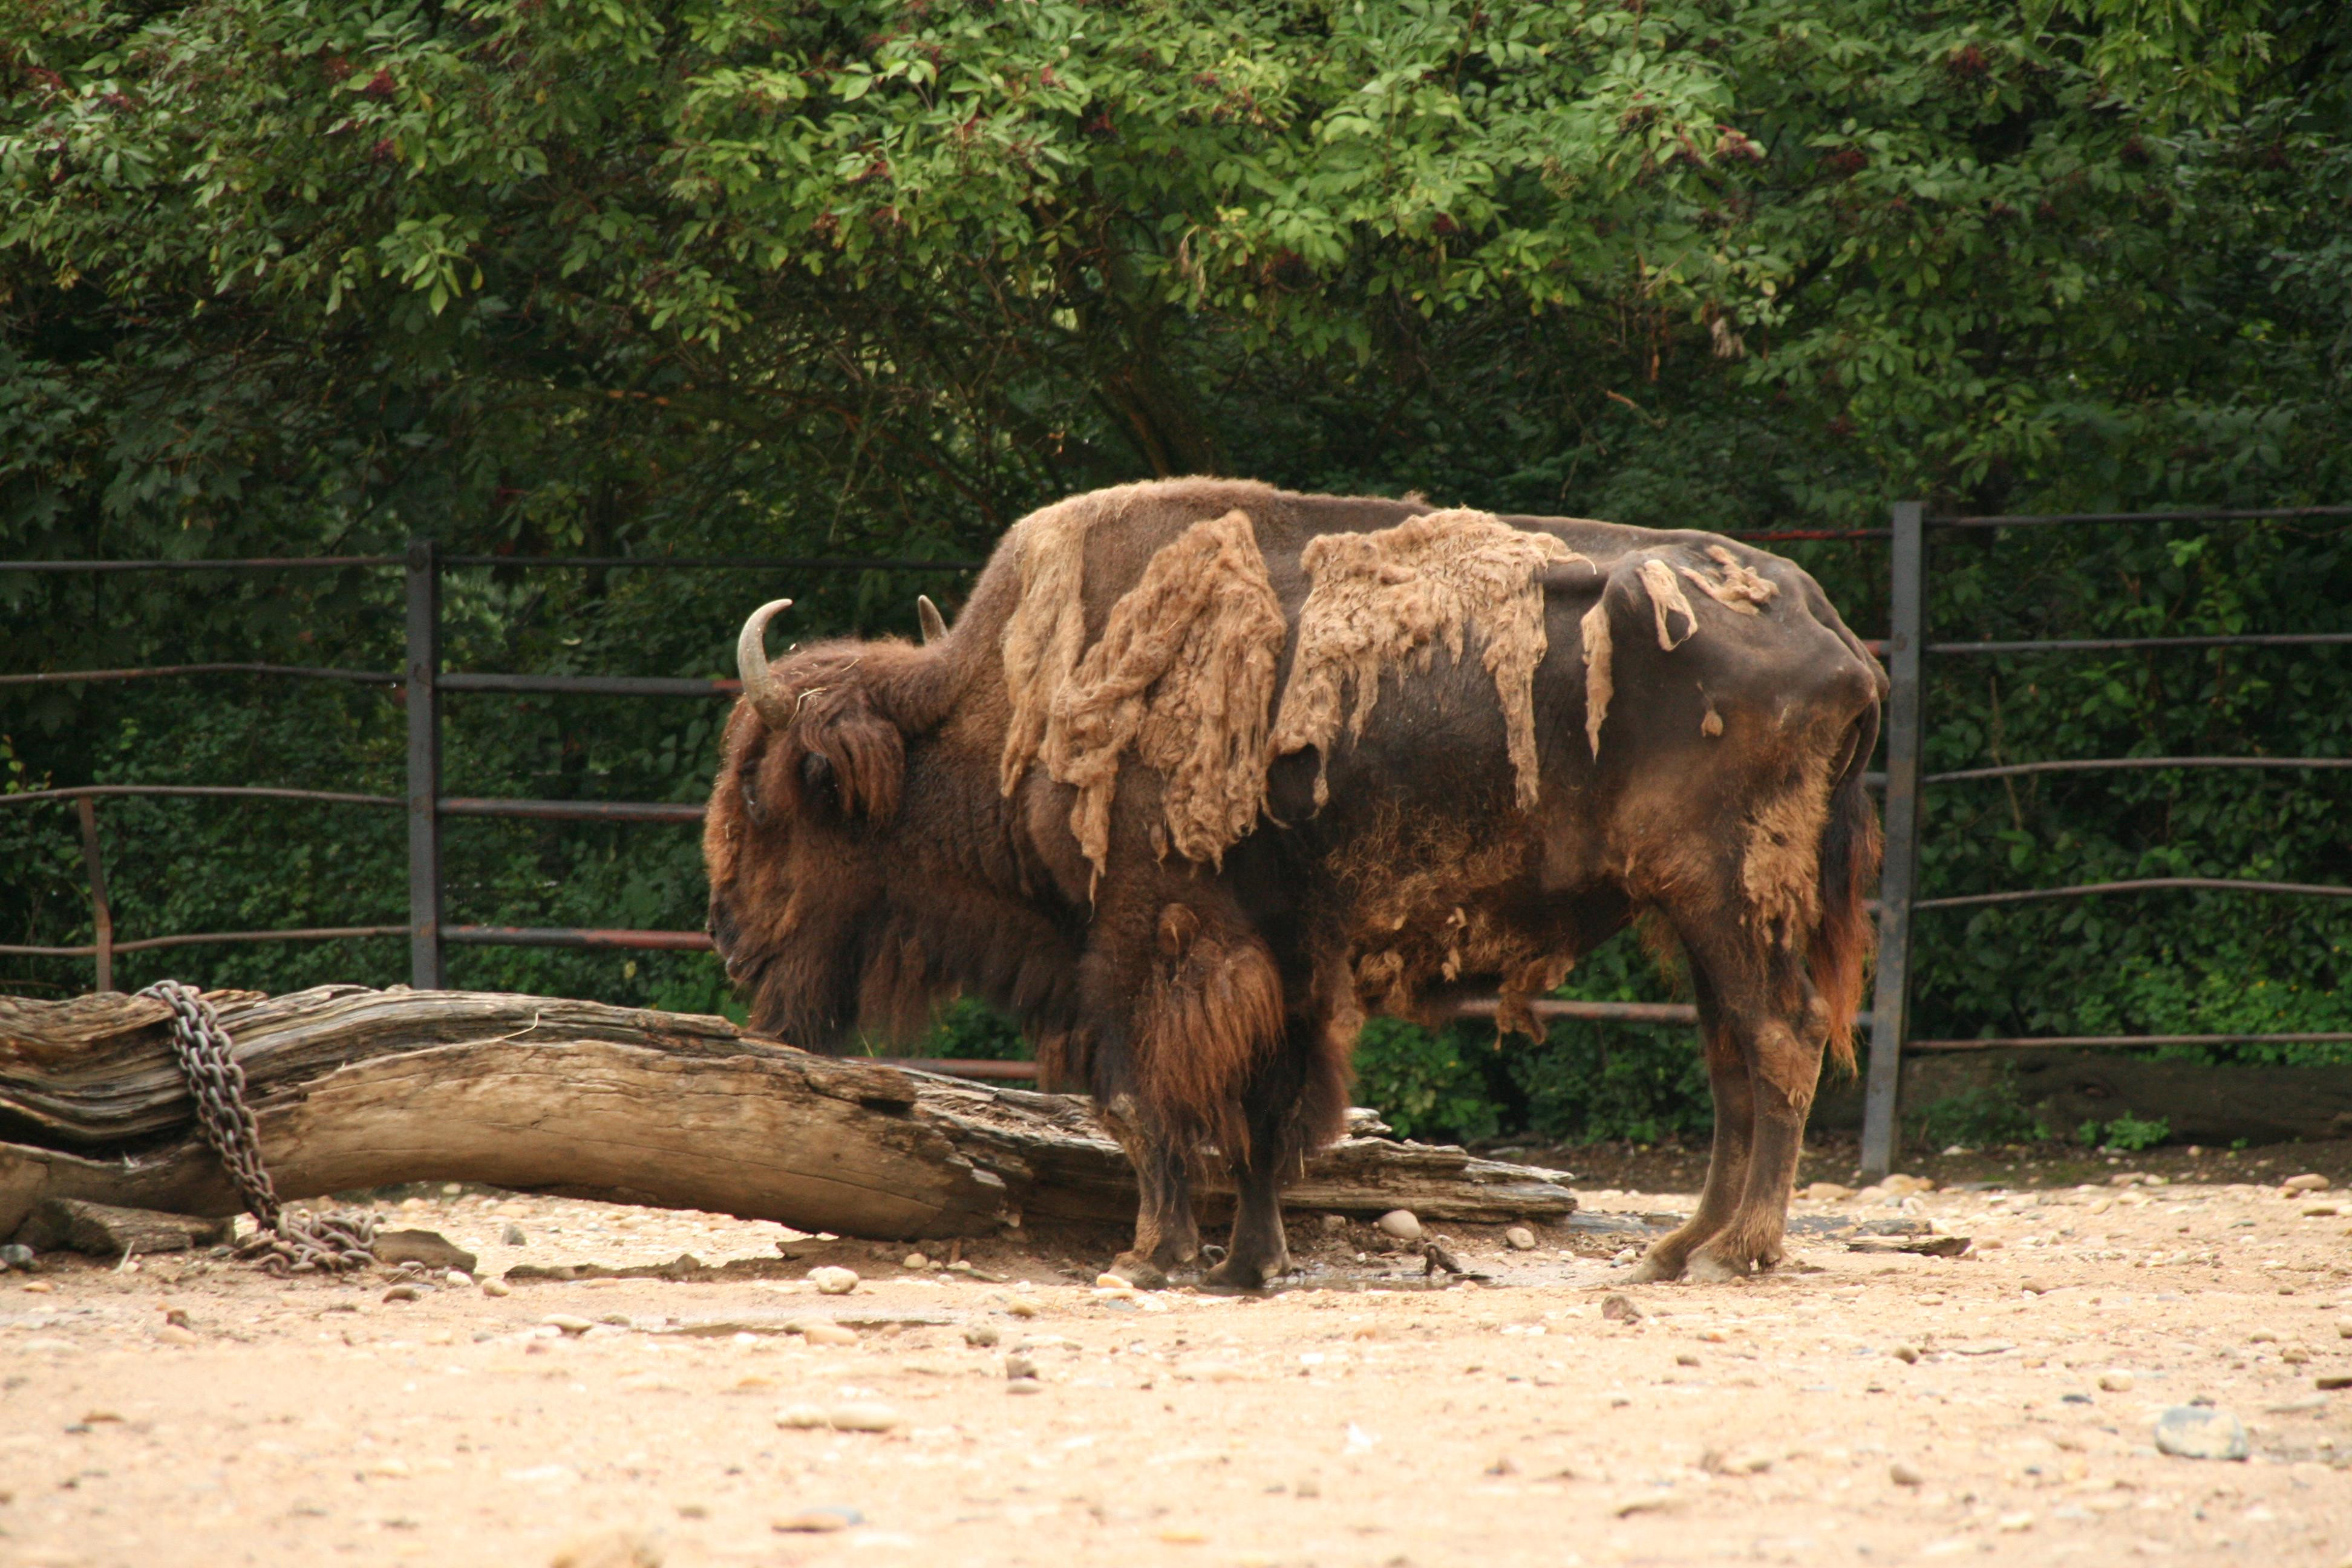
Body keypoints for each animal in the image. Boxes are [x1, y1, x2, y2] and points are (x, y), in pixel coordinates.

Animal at [703, 478, 1883, 1288]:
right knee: (1732, 1061)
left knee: (1777, 1041)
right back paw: (1675, 1249)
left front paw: (1151, 1256)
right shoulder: (1284, 957)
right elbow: (1264, 1116)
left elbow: (1139, 1096)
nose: (722, 936)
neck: (992, 713)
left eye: (766, 796)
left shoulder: (1143, 936)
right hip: (1694, 919)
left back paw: (1735, 1251)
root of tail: (1839, 636)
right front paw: (1247, 1264)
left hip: (1728, 899)